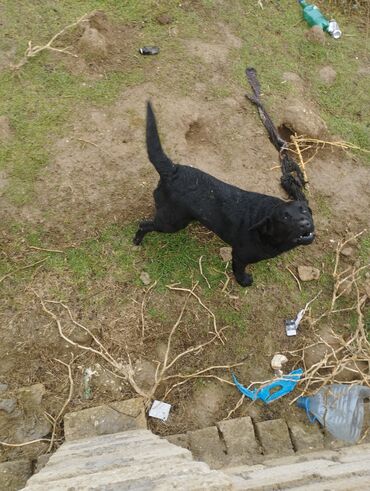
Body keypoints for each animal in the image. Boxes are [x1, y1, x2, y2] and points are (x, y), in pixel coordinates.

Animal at [134, 103, 316, 288]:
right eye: (285, 218)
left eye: (304, 210)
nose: (305, 223)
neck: (264, 230)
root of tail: (172, 170)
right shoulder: (240, 256)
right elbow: (239, 270)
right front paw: (244, 281)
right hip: (172, 223)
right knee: (144, 225)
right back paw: (137, 241)